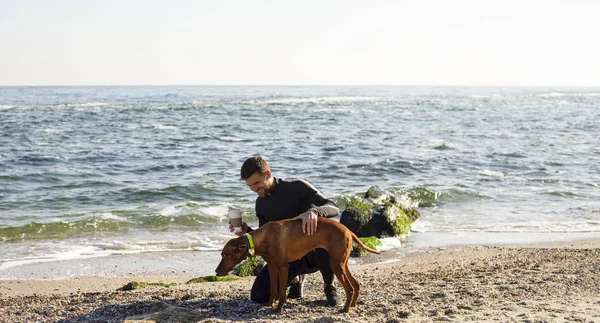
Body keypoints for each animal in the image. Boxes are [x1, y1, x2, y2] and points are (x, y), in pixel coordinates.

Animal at [216, 218, 380, 314]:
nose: (216, 271)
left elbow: (282, 291)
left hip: (335, 264)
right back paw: (353, 305)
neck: (264, 237)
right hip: (342, 263)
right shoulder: (272, 267)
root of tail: (348, 230)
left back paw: (345, 309)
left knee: (350, 288)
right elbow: (273, 289)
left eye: (224, 255)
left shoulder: (283, 267)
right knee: (356, 284)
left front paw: (278, 309)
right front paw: (269, 304)